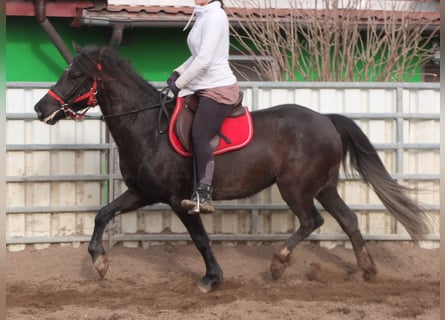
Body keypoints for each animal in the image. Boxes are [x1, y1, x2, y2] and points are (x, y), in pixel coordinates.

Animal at [33, 45, 428, 292]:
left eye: (74, 75)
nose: (40, 109)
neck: (148, 127)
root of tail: (326, 119)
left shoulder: (179, 200)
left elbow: (200, 239)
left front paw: (212, 278)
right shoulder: (142, 192)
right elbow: (103, 213)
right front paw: (99, 263)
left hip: (296, 187)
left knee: (311, 221)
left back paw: (279, 263)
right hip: (324, 186)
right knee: (348, 220)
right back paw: (366, 270)